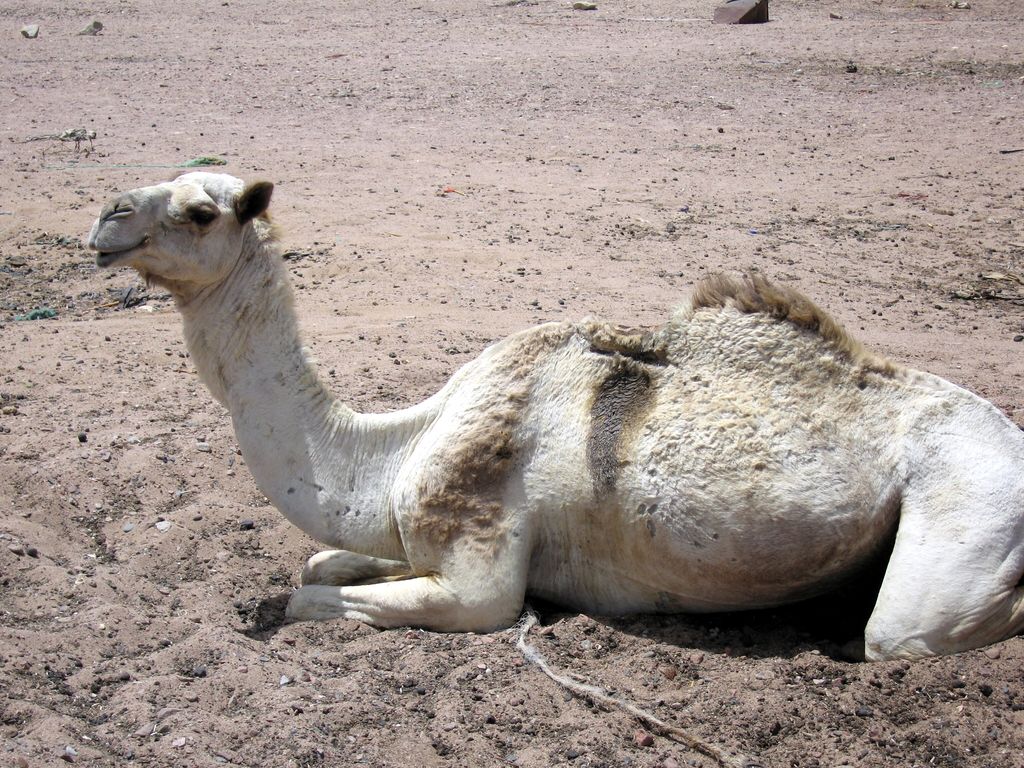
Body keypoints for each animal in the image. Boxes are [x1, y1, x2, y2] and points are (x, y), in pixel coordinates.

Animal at [87, 172, 1024, 661]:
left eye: (200, 210)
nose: (107, 216)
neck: (397, 446)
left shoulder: (479, 575)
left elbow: (307, 598)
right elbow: (321, 562)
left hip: (964, 513)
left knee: (907, 632)